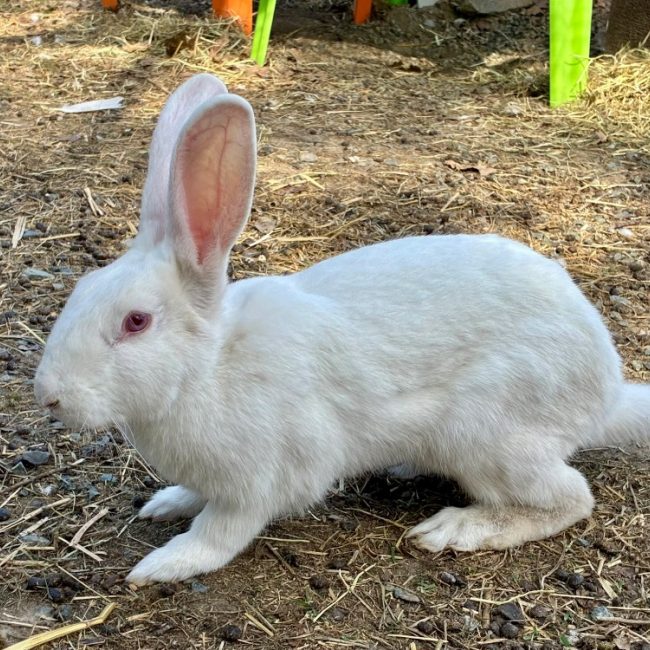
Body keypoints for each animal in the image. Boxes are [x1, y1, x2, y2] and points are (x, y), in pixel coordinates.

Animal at [34, 73, 650, 585]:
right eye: (82, 289)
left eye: (136, 321)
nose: (49, 397)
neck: (209, 369)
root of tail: (605, 392)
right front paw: (164, 503)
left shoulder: (254, 486)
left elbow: (219, 533)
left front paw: (163, 564)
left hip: (489, 437)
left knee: (571, 499)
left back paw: (453, 529)